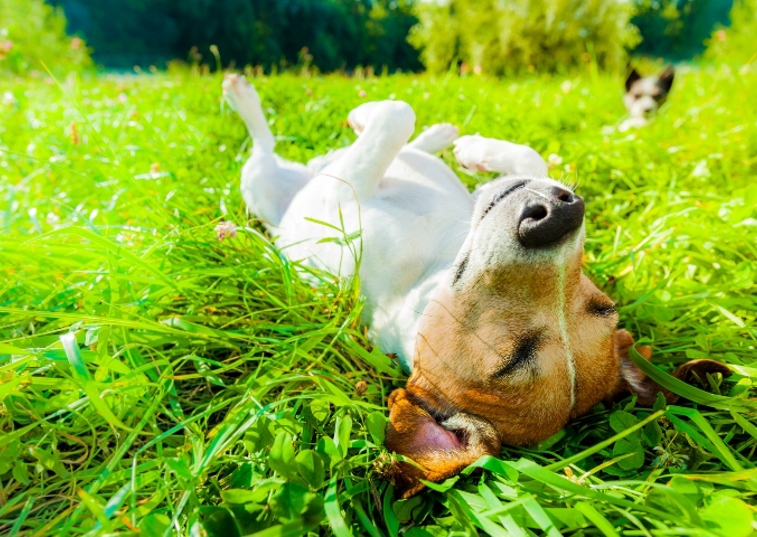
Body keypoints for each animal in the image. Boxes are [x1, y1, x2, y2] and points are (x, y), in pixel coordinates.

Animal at [223, 73, 728, 496]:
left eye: (510, 361)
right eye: (603, 306)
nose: (558, 216)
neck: (434, 265)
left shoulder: (343, 201)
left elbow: (396, 115)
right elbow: (522, 156)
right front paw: (475, 151)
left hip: (261, 186)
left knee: (264, 150)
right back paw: (439, 136)